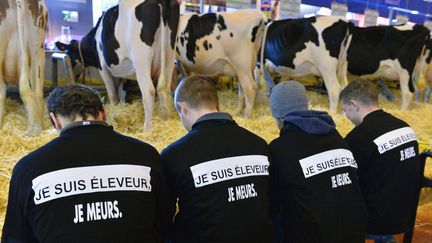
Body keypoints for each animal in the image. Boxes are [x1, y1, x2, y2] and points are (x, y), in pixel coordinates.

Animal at [57, 0, 179, 131]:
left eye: (69, 54)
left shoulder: (103, 68)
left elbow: (112, 93)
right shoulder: (126, 71)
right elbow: (122, 92)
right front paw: (122, 106)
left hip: (141, 60)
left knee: (149, 91)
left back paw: (147, 129)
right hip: (169, 56)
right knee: (165, 89)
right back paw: (164, 121)